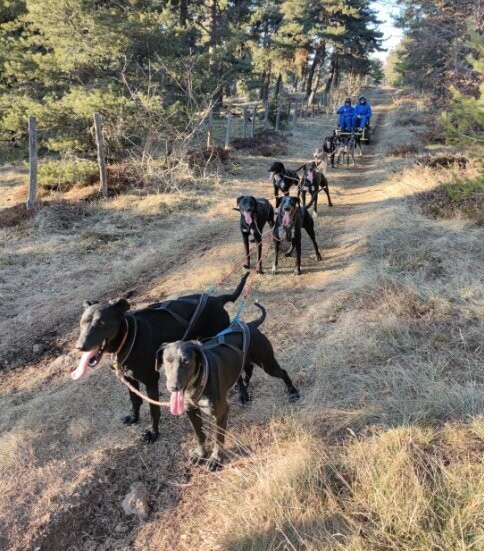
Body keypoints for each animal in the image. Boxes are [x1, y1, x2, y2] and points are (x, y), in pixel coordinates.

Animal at [73, 276, 248, 444]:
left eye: (101, 322)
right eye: (82, 322)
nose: (79, 347)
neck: (128, 336)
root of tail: (218, 299)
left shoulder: (151, 381)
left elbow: (153, 410)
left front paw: (153, 433)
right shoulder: (129, 380)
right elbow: (135, 400)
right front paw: (134, 417)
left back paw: (243, 394)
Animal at [162, 304, 298, 472]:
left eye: (187, 361)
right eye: (166, 361)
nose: (173, 387)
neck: (197, 382)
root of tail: (251, 324)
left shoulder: (221, 413)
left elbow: (218, 438)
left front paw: (215, 459)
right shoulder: (191, 411)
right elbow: (199, 434)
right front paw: (200, 454)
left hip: (267, 363)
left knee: (282, 372)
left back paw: (293, 392)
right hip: (245, 362)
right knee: (246, 373)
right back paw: (244, 394)